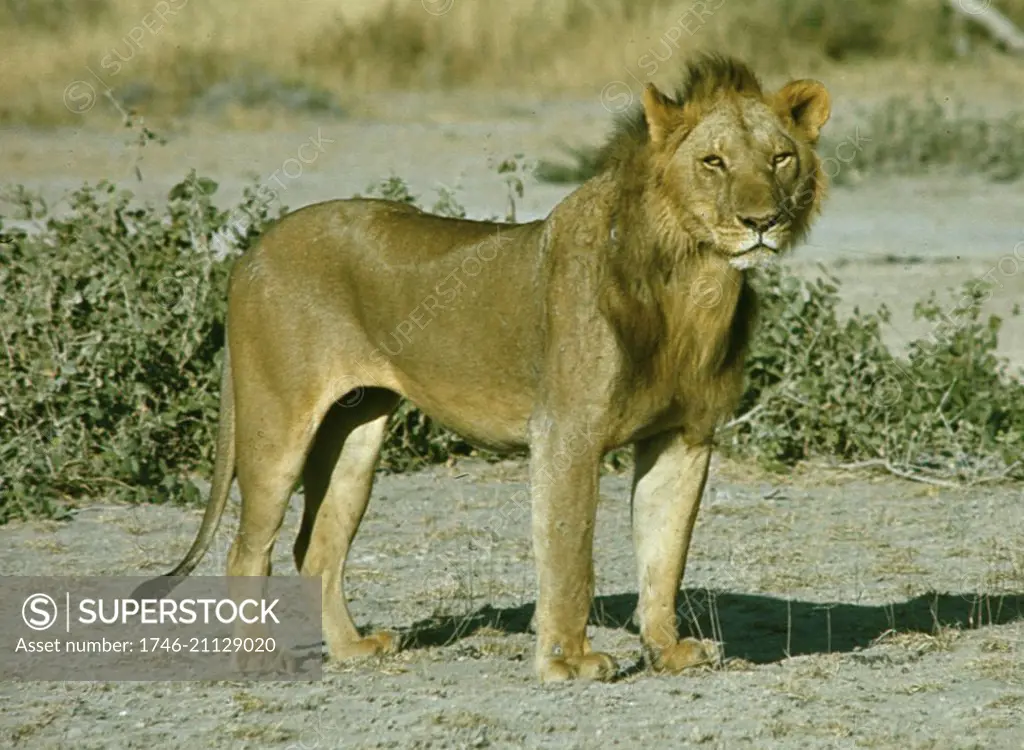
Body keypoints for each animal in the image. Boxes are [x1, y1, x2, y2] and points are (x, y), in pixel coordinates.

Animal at [140, 55, 831, 684]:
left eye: (780, 159)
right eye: (713, 162)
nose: (762, 222)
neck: (692, 281)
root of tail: (251, 249)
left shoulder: (684, 436)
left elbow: (665, 554)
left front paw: (669, 653)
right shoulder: (566, 432)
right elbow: (570, 553)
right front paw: (567, 663)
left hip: (355, 432)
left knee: (317, 546)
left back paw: (353, 649)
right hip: (277, 423)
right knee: (246, 548)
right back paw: (260, 660)